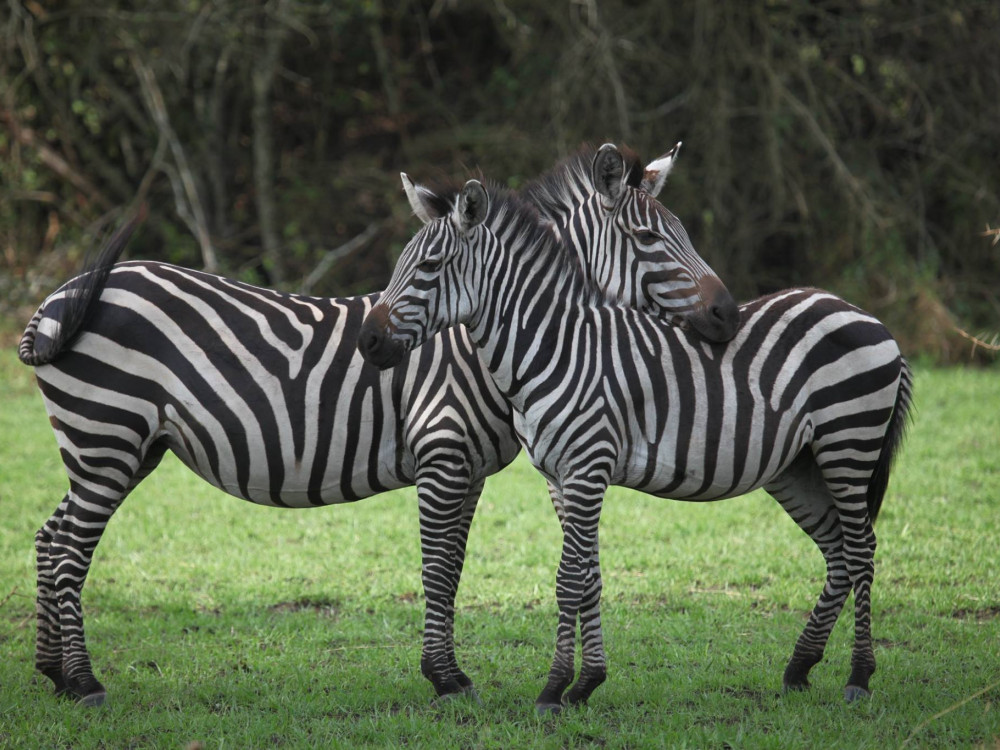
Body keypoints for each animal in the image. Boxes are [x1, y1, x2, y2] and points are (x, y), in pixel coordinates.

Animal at [17, 145, 736, 707]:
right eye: (651, 240)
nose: (728, 315)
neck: (480, 339)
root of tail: (59, 296)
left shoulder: (471, 470)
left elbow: (456, 566)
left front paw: (451, 673)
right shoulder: (443, 455)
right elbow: (438, 568)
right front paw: (445, 679)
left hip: (120, 448)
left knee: (51, 538)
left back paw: (53, 675)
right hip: (108, 438)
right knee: (70, 550)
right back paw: (84, 683)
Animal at [357, 177, 914, 713]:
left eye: (429, 266)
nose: (367, 341)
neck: (555, 349)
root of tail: (863, 314)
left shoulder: (587, 465)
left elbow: (568, 578)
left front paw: (552, 691)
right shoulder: (559, 475)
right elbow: (588, 575)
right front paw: (584, 685)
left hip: (849, 441)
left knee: (861, 550)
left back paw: (859, 677)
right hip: (800, 466)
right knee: (839, 552)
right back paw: (799, 667)